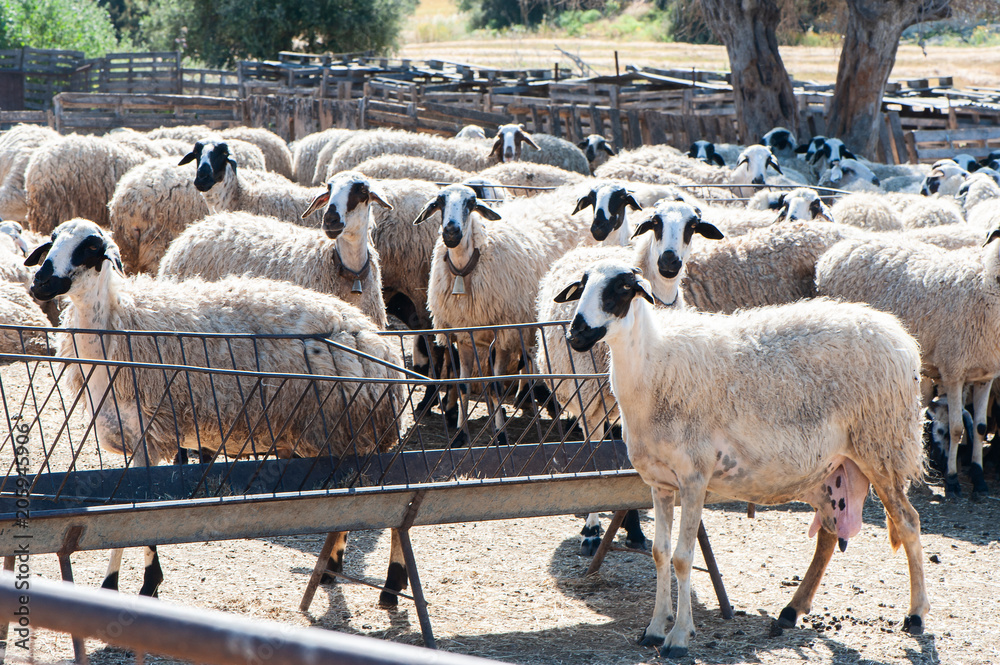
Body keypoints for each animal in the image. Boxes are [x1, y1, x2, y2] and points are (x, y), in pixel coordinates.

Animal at [25, 217, 407, 603]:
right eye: (52, 240)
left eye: (90, 247)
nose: (40, 281)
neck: (117, 328)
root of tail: (378, 341)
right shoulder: (133, 436)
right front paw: (132, 582)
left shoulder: (149, 435)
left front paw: (138, 583)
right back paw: (332, 569)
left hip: (353, 430)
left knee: (396, 500)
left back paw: (391, 583)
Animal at [554, 259, 928, 657]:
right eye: (582, 286)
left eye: (623, 288)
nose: (576, 333)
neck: (652, 367)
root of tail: (899, 334)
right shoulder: (660, 482)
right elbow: (660, 553)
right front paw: (654, 629)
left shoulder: (694, 477)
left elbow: (682, 558)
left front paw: (679, 636)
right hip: (829, 469)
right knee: (829, 533)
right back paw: (791, 611)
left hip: (882, 446)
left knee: (908, 522)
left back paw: (916, 615)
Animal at [816, 232, 1000, 500]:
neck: (986, 285)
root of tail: (835, 250)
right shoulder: (953, 371)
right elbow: (957, 429)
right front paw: (952, 481)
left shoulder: (985, 375)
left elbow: (979, 428)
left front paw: (978, 479)